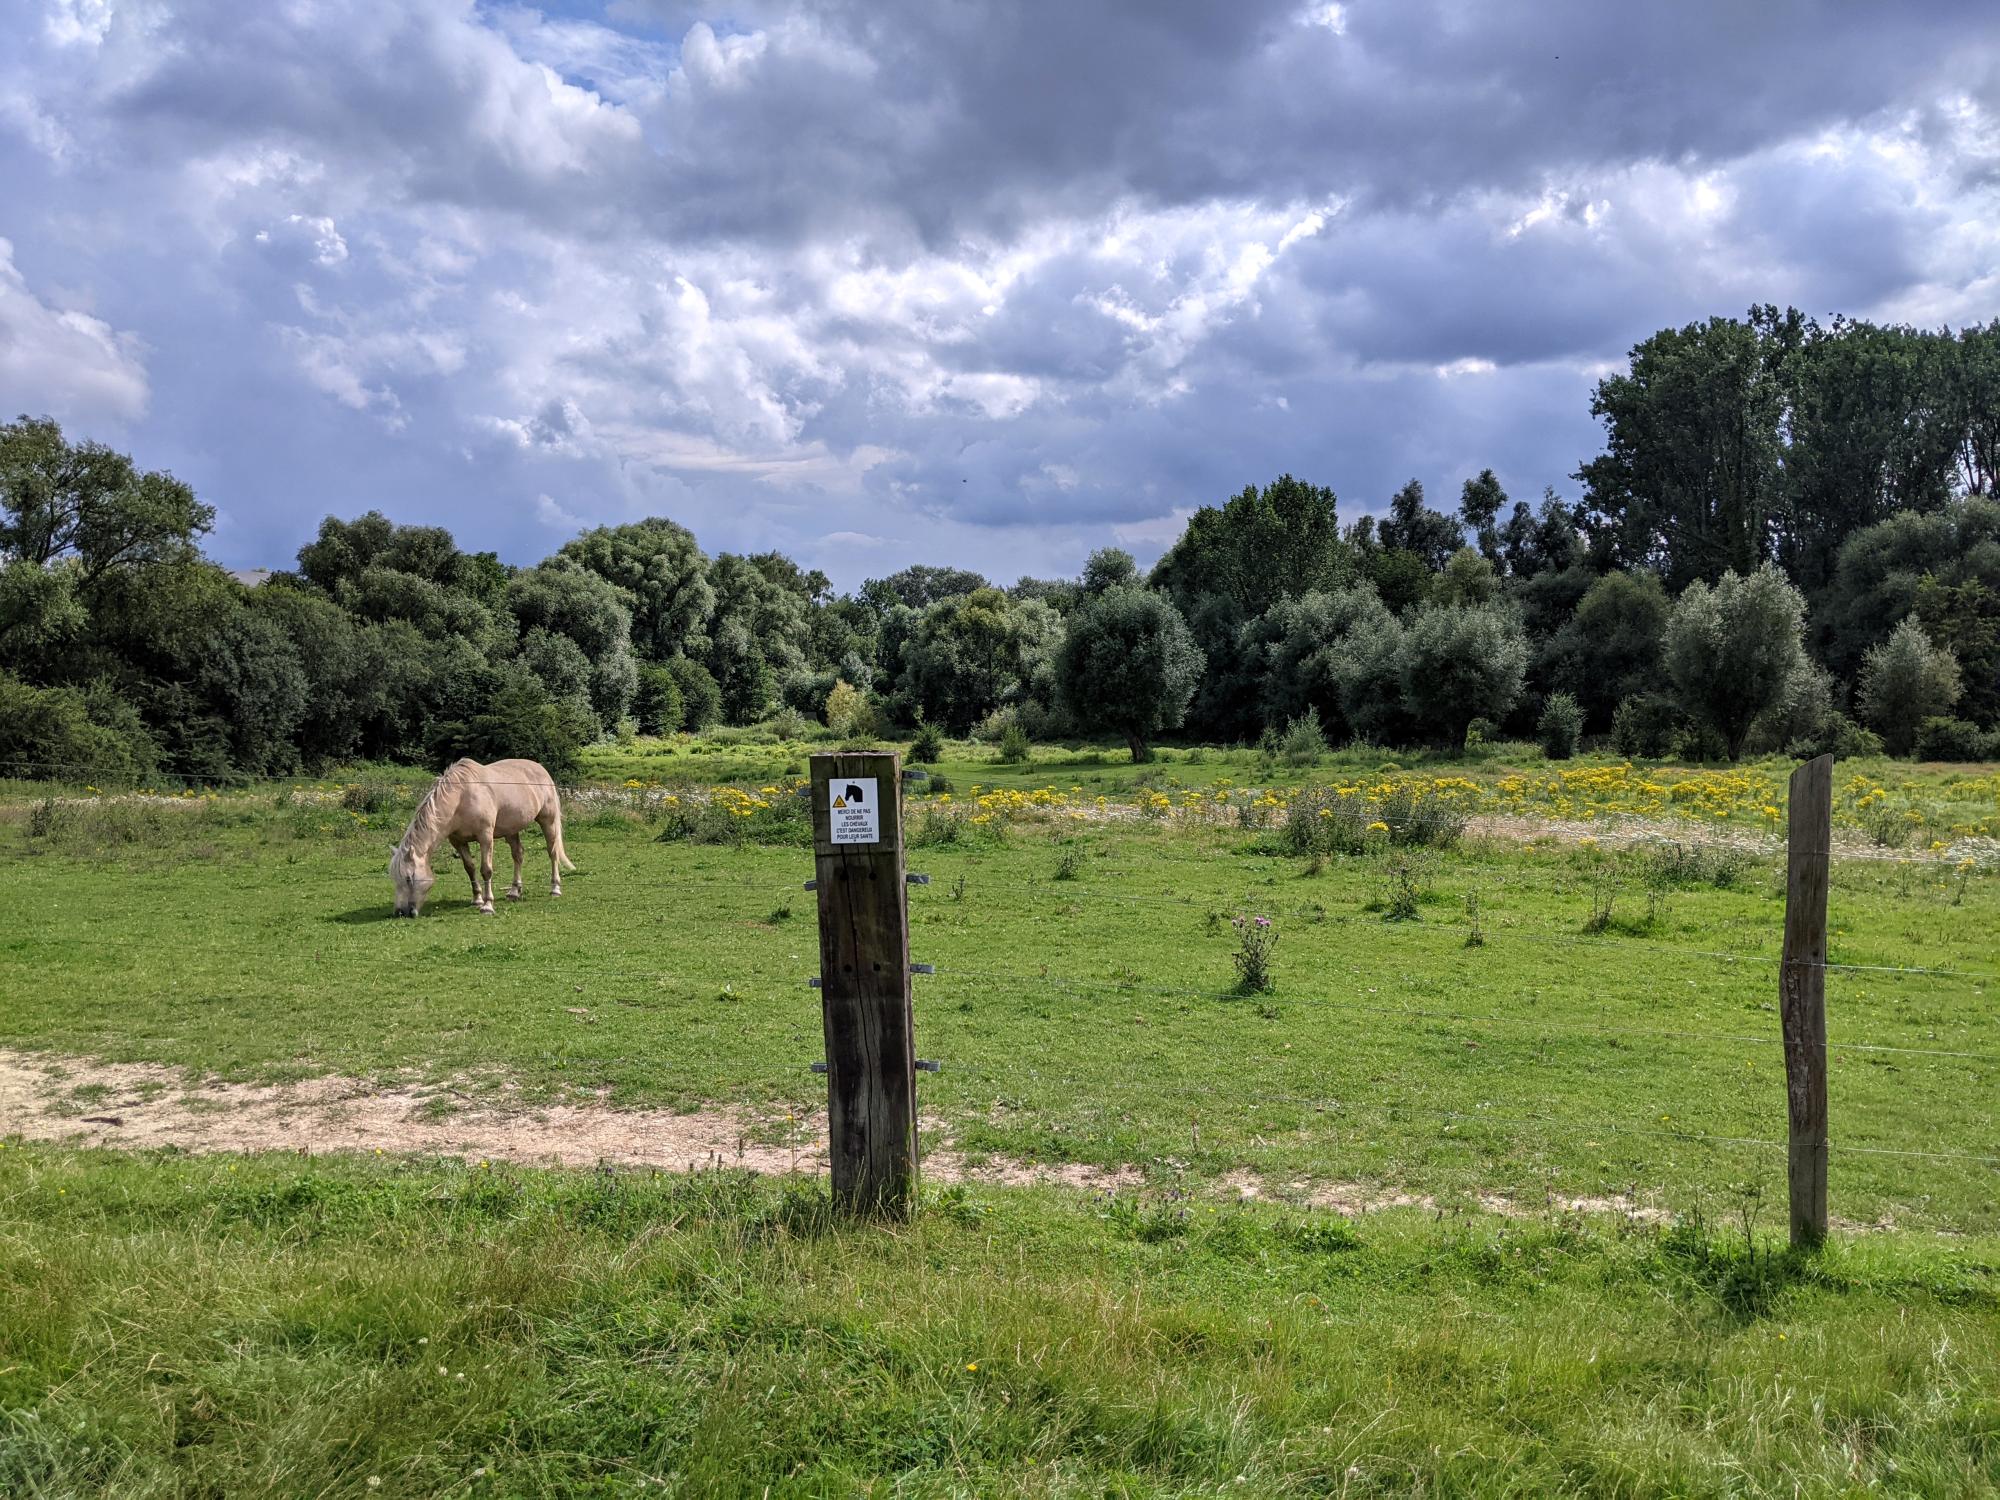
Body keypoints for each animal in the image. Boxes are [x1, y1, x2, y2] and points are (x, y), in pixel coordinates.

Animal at [386, 764, 572, 916]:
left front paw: (487, 905)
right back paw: (514, 891)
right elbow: (470, 868)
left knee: (552, 852)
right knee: (518, 855)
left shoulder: (485, 837)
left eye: (409, 878)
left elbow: (486, 870)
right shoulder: (458, 841)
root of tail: (541, 769)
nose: (401, 912)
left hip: (548, 821)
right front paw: (477, 899)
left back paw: (555, 889)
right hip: (511, 830)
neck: (461, 797)